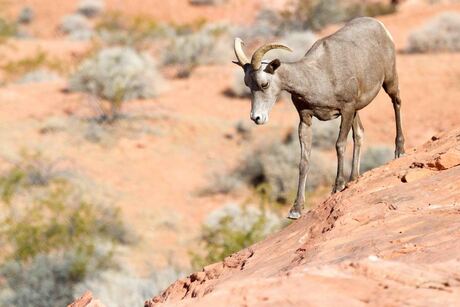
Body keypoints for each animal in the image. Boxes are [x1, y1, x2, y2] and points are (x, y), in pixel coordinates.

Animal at [235, 17, 404, 219]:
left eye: (264, 84)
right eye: (247, 84)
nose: (256, 117)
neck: (318, 76)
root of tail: (379, 25)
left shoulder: (346, 109)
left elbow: (339, 145)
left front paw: (337, 186)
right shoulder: (306, 119)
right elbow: (304, 161)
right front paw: (296, 210)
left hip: (389, 81)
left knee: (396, 103)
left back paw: (399, 151)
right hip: (357, 110)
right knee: (360, 133)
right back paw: (353, 178)